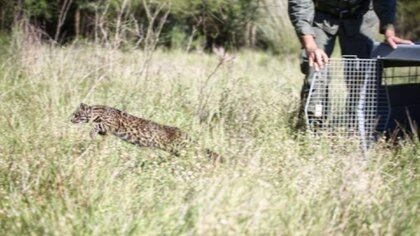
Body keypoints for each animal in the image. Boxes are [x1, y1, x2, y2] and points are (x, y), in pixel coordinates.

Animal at [70, 103, 221, 162]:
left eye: (76, 115)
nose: (70, 119)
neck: (98, 111)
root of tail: (181, 132)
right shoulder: (106, 130)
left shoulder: (110, 125)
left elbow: (96, 126)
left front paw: (91, 132)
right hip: (177, 150)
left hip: (181, 146)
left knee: (198, 152)